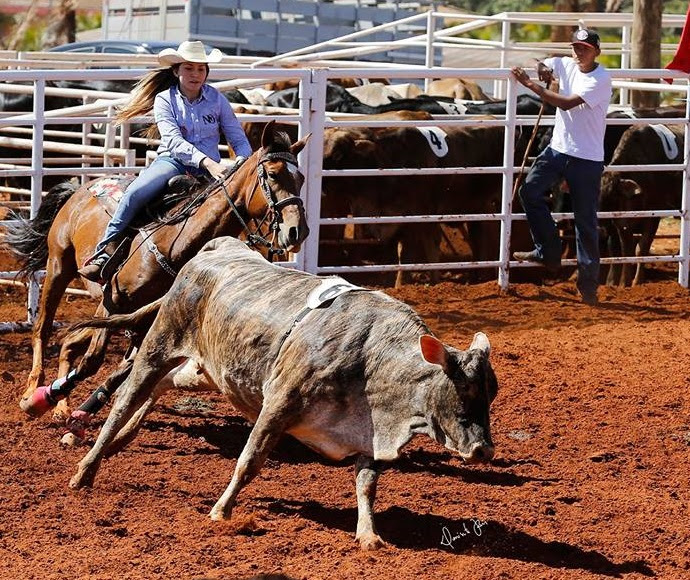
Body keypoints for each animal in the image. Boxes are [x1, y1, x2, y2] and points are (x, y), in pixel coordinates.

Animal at [6, 123, 308, 422]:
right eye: (273, 174)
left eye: (301, 178)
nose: (298, 231)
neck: (176, 243)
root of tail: (79, 189)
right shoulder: (113, 300)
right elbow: (94, 360)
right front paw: (39, 401)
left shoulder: (149, 319)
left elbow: (126, 368)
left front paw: (82, 410)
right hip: (59, 265)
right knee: (42, 328)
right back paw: (33, 390)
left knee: (69, 342)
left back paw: (62, 406)